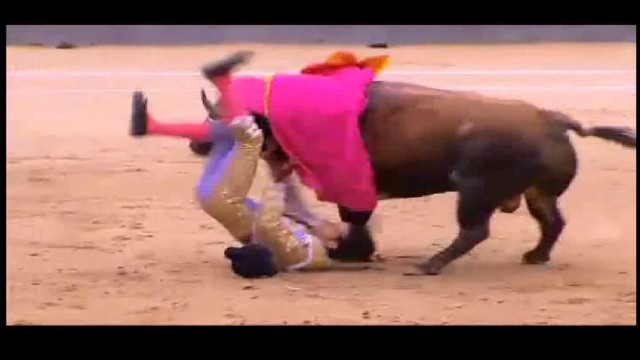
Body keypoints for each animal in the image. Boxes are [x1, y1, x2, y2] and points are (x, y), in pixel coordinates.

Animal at [190, 80, 636, 274]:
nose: (197, 144)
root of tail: (554, 119)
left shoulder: (352, 188)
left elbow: (354, 218)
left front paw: (353, 251)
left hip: (474, 190)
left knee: (475, 230)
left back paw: (430, 265)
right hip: (537, 194)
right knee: (552, 222)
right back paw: (535, 257)